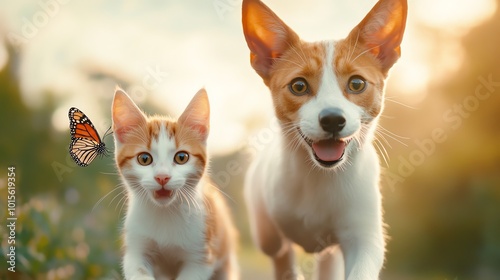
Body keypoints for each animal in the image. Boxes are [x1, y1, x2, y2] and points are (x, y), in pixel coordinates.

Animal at [113, 88, 238, 280]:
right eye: (144, 159)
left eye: (181, 157)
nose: (162, 177)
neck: (166, 212)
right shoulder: (136, 249)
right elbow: (138, 269)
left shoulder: (201, 258)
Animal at [241, 0, 406, 278]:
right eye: (298, 86)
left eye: (357, 83)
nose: (332, 120)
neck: (320, 177)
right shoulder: (272, 233)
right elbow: (283, 259)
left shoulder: (363, 238)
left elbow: (361, 267)